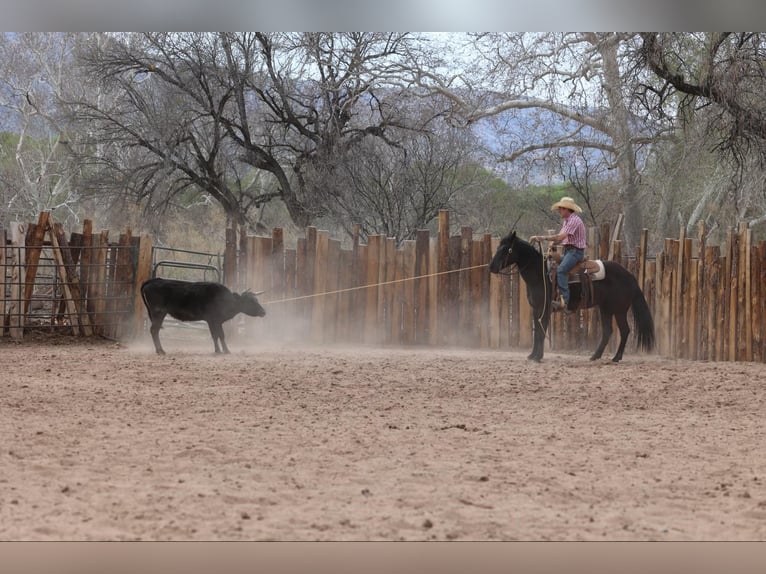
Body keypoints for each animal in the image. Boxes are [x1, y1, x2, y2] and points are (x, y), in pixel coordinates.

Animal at [489, 230, 655, 363]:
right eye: (498, 247)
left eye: (507, 249)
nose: (491, 267)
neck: (540, 274)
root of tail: (629, 276)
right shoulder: (536, 309)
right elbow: (537, 331)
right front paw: (532, 355)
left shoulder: (545, 309)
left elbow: (541, 332)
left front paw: (538, 357)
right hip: (605, 308)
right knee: (607, 331)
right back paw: (595, 356)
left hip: (619, 310)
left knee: (625, 330)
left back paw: (616, 357)